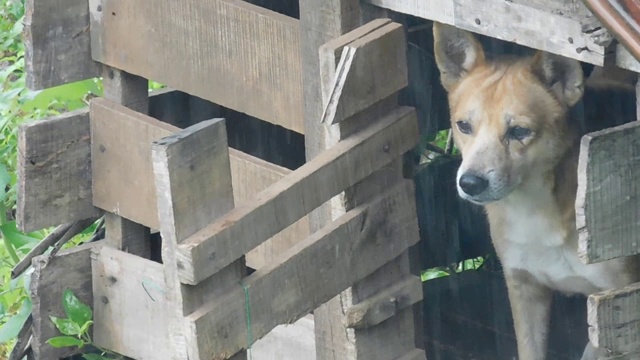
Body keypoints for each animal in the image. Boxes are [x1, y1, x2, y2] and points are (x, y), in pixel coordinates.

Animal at [432, 23, 636, 360]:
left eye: (519, 131)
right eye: (463, 126)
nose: (470, 183)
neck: (534, 209)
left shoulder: (616, 302)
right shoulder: (524, 289)